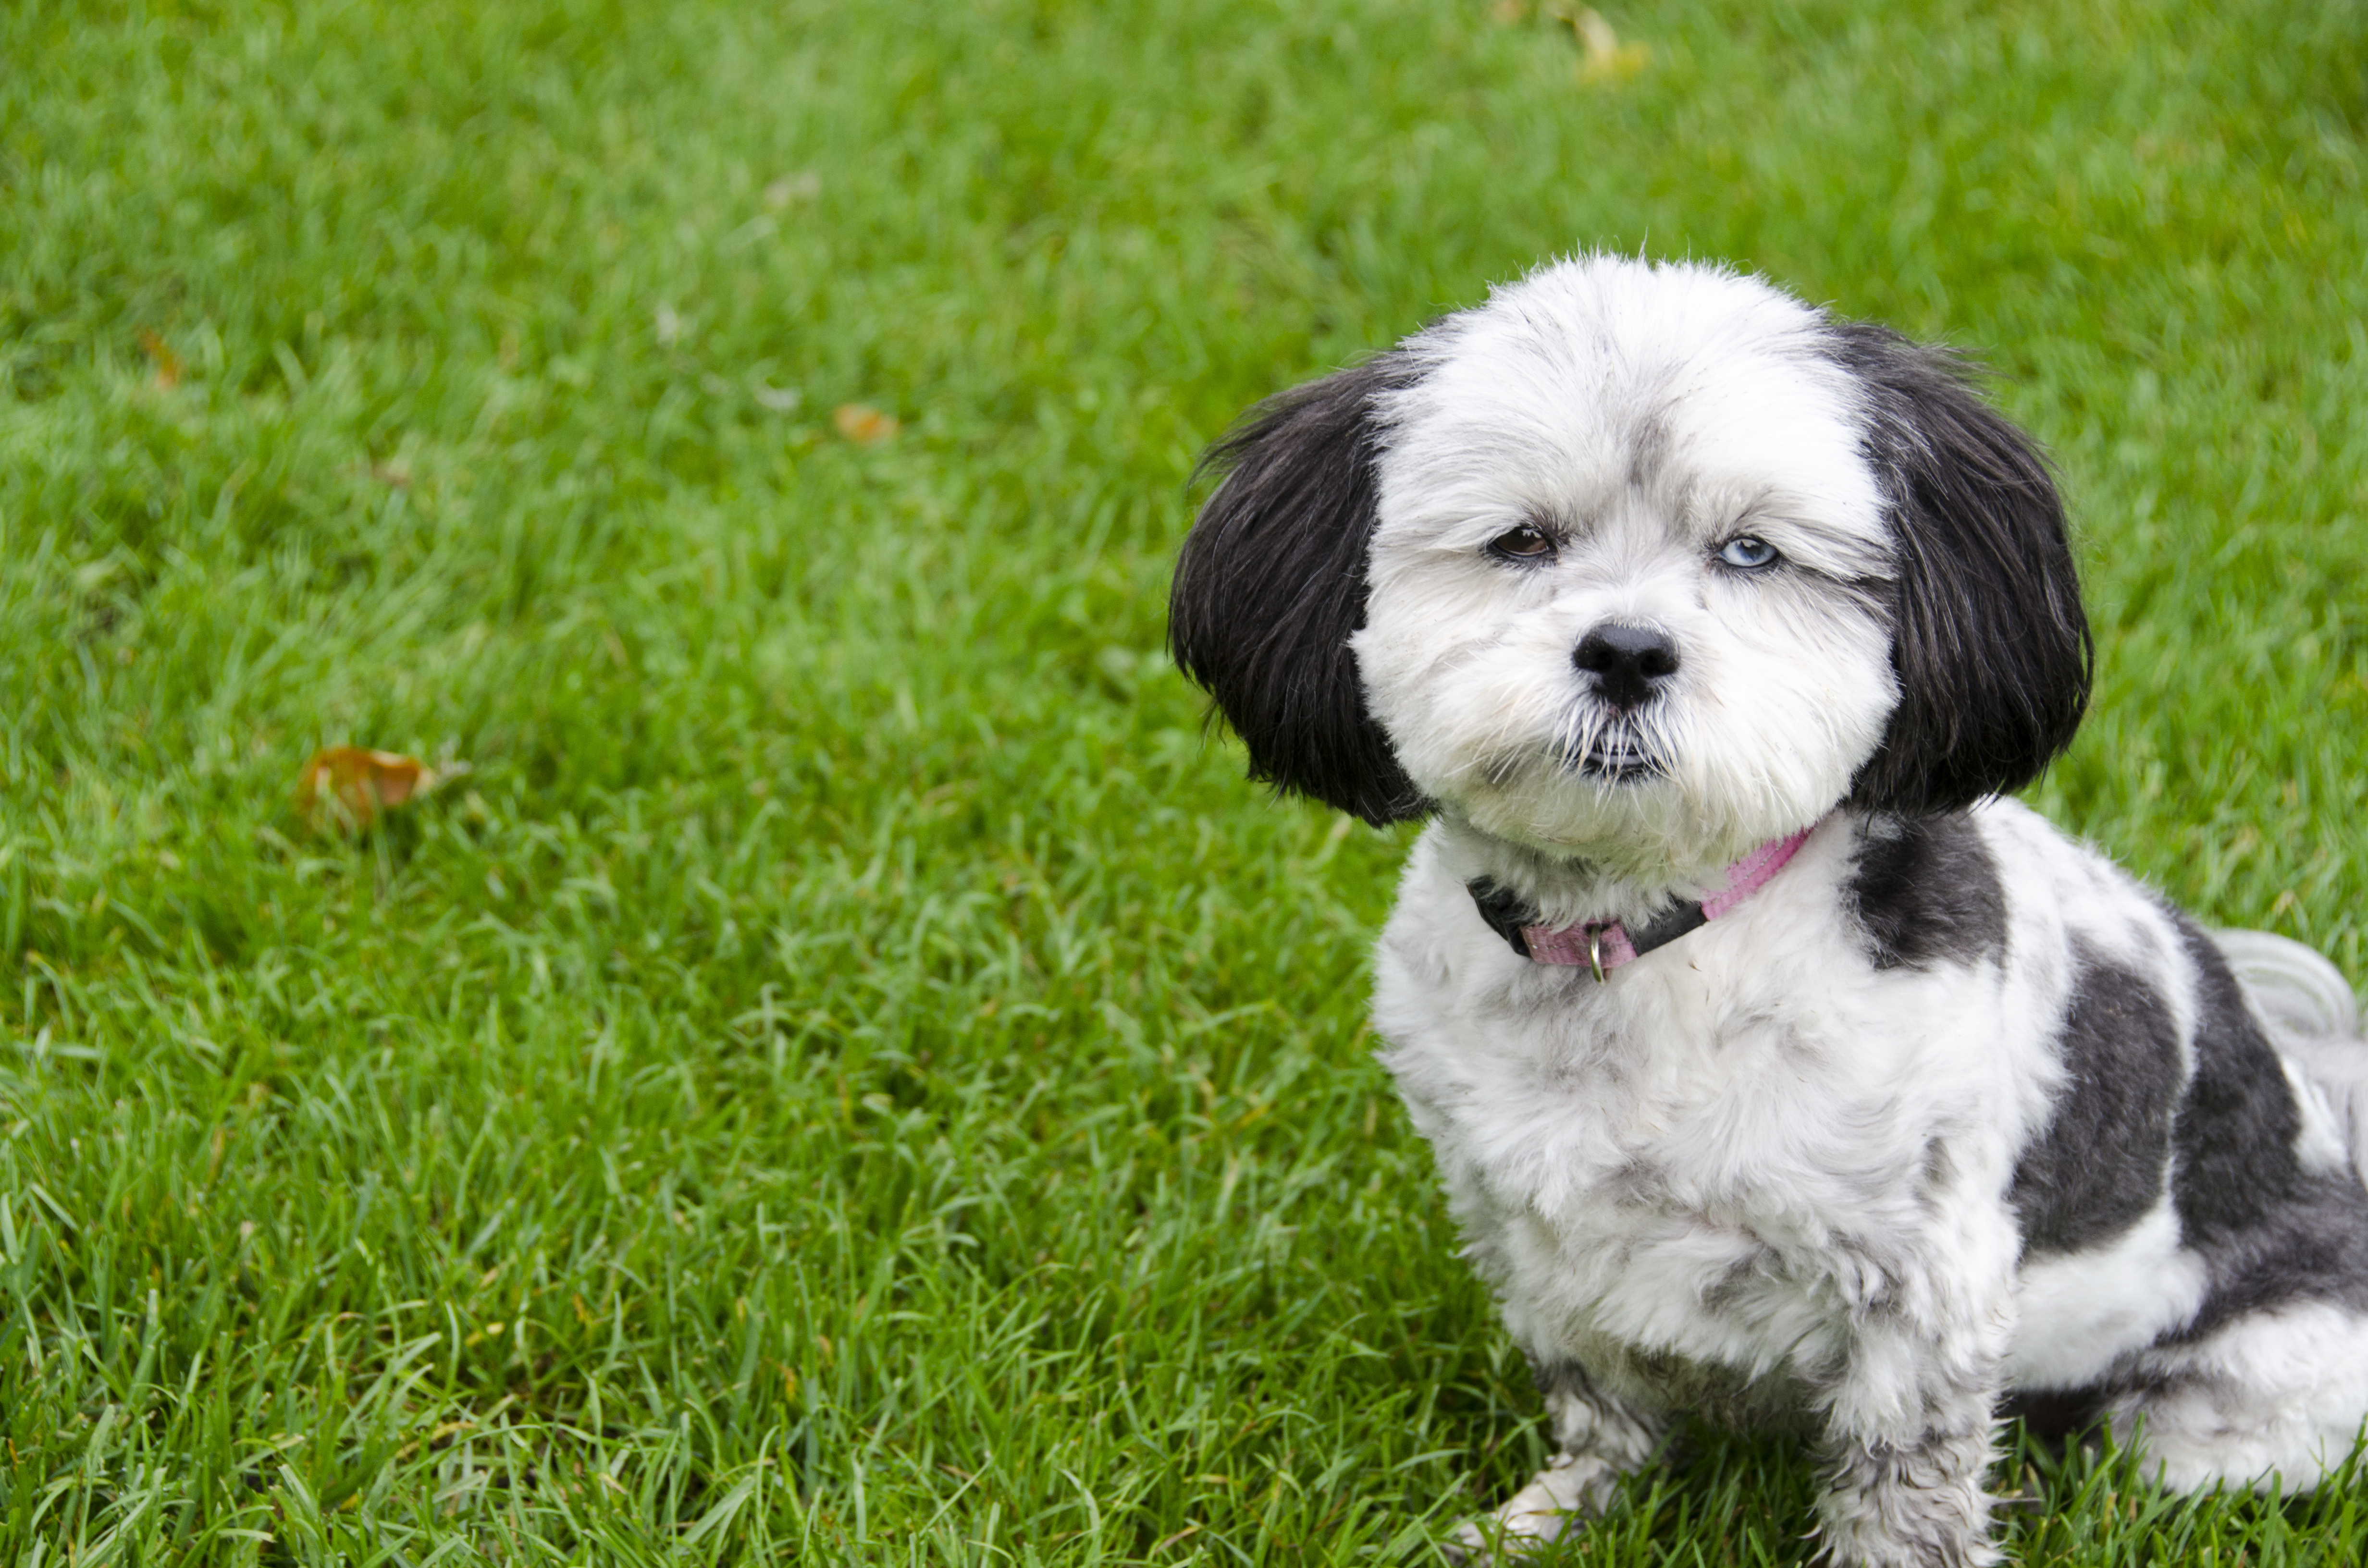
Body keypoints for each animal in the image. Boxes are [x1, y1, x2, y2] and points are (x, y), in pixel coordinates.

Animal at [1165, 252, 2368, 1563]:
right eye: (1520, 540)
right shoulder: (1532, 1238)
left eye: (1751, 552)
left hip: (2244, 1402)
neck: (1649, 942)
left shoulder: (1924, 1289)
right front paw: (1559, 1517)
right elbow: (1599, 1406)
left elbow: (1904, 1494)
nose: (1627, 650)